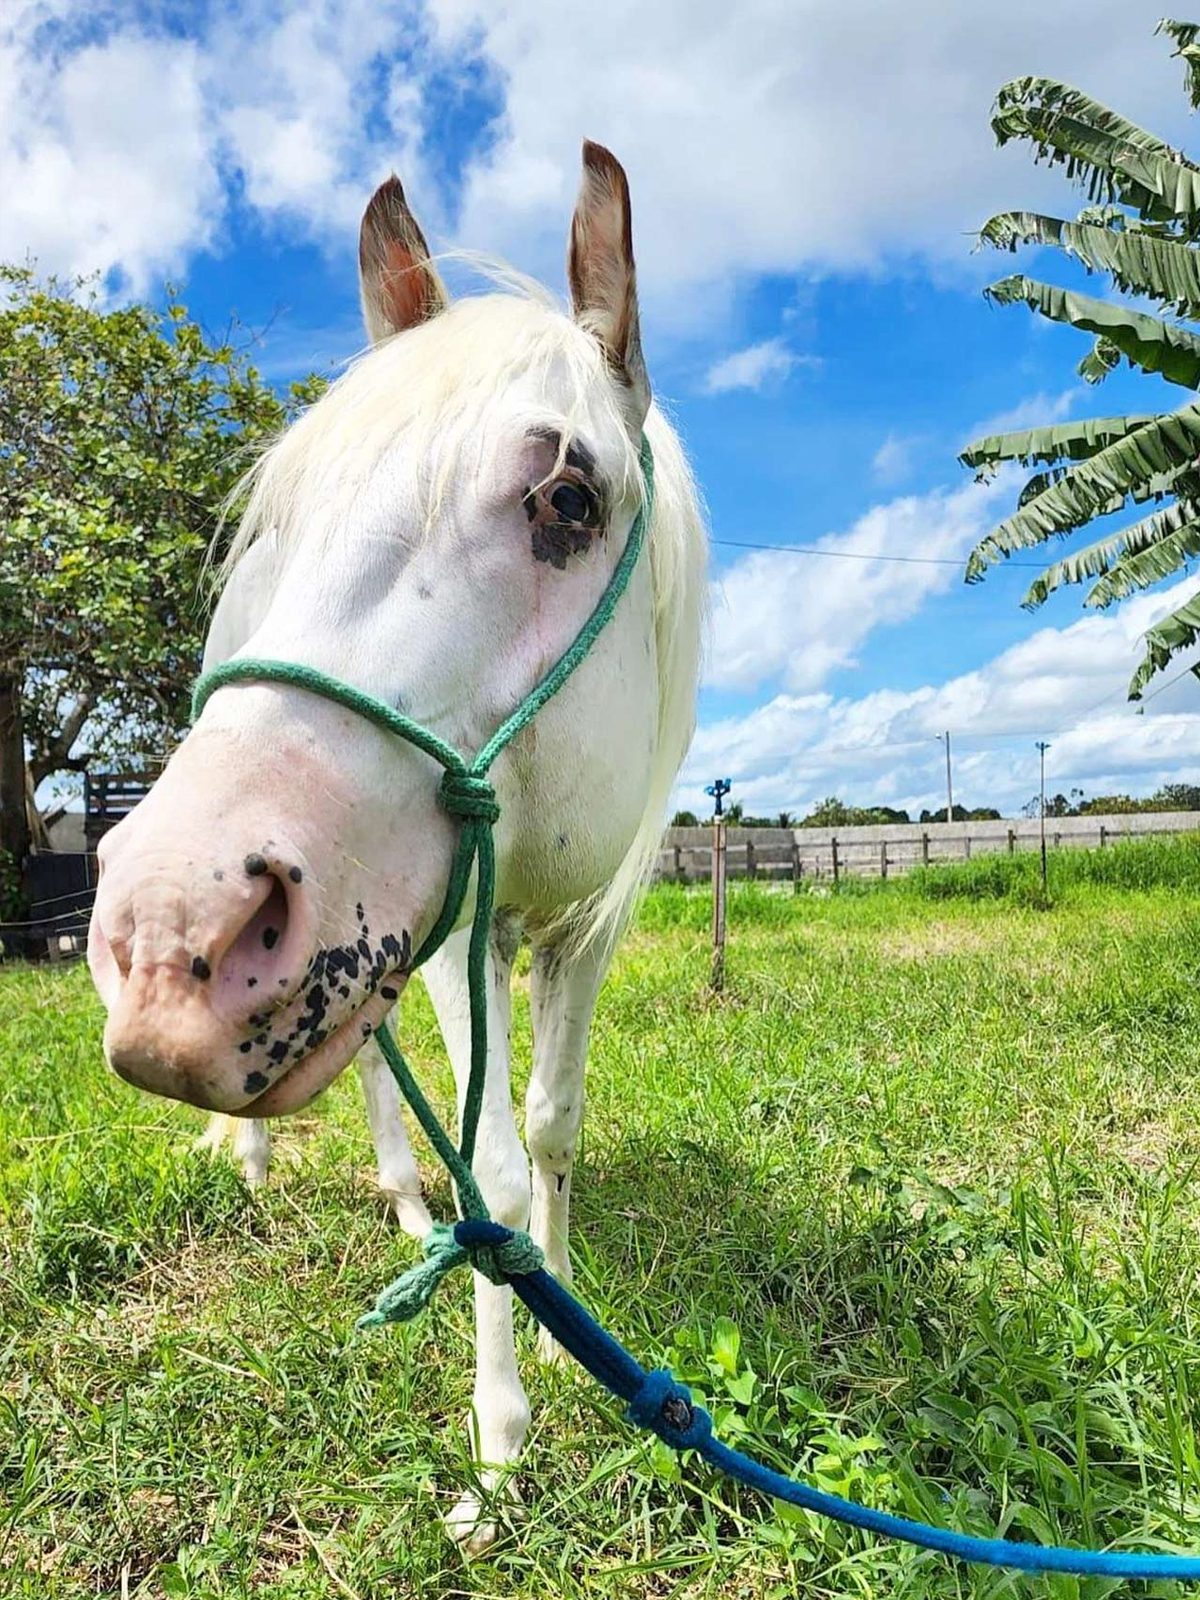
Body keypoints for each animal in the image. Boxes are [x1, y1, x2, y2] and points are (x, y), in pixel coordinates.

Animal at [86, 141, 707, 1549]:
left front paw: (570, 1297)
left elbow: (551, 1132)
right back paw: (281, 1172)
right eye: (286, 519)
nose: (163, 937)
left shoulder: (577, 931)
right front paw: (503, 1435)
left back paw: (398, 1196)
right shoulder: (459, 933)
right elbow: (496, 1175)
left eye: (568, 499)